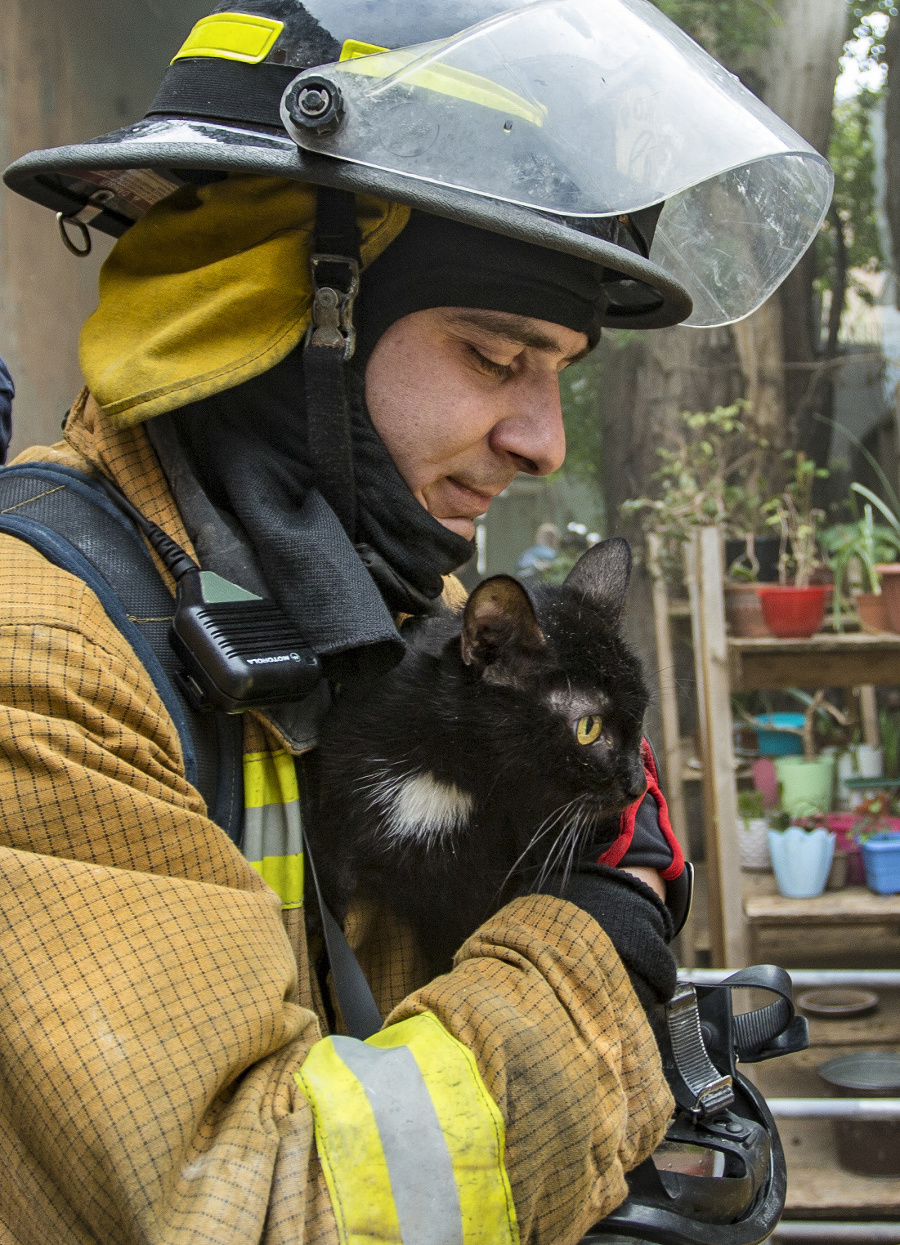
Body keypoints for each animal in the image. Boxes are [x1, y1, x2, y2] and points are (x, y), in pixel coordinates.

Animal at [313, 535, 652, 981]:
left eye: (642, 712)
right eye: (588, 728)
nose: (637, 784)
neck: (450, 776)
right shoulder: (336, 811)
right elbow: (331, 902)